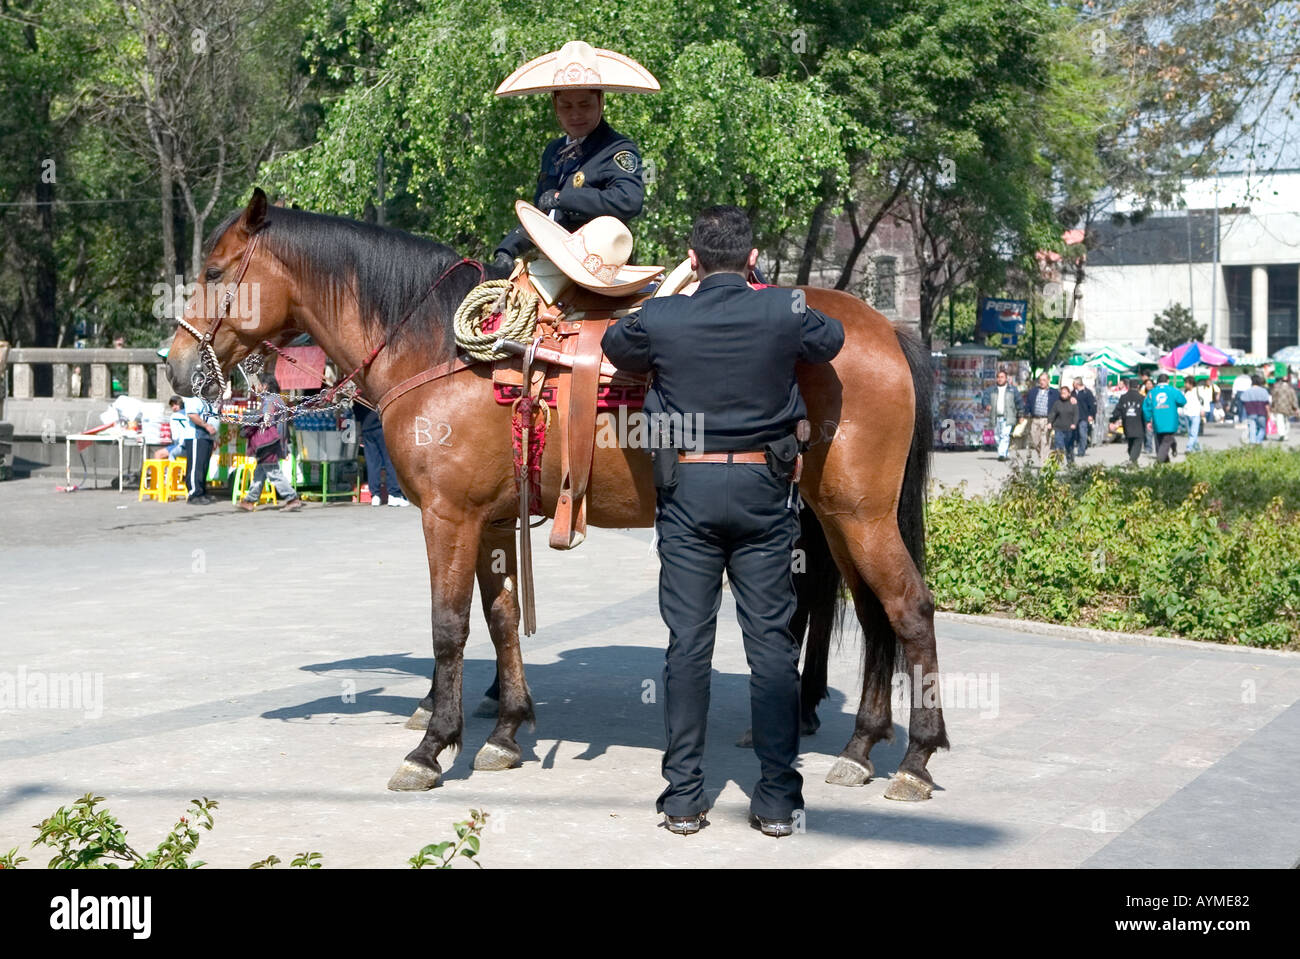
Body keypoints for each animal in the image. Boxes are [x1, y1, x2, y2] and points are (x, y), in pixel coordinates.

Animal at [167, 187, 951, 800]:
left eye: (214, 270)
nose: (176, 366)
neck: (441, 346)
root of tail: (887, 328)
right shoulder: (489, 522)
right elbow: (502, 619)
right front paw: (507, 730)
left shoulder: (449, 518)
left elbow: (448, 626)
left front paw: (433, 746)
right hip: (837, 516)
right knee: (873, 617)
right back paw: (860, 748)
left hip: (858, 514)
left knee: (908, 610)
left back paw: (914, 756)